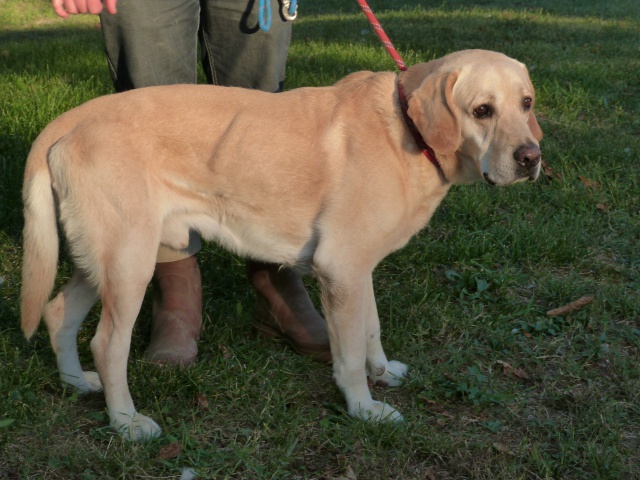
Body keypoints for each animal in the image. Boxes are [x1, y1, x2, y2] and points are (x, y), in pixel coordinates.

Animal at [21, 48, 540, 438]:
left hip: (104, 262)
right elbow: (349, 354)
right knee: (107, 344)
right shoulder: (342, 267)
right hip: (130, 264)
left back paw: (75, 383)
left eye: (527, 103)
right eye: (482, 110)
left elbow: (370, 331)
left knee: (56, 313)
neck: (407, 131)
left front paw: (382, 373)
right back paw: (126, 422)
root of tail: (69, 118)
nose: (531, 158)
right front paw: (364, 408)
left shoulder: (359, 270)